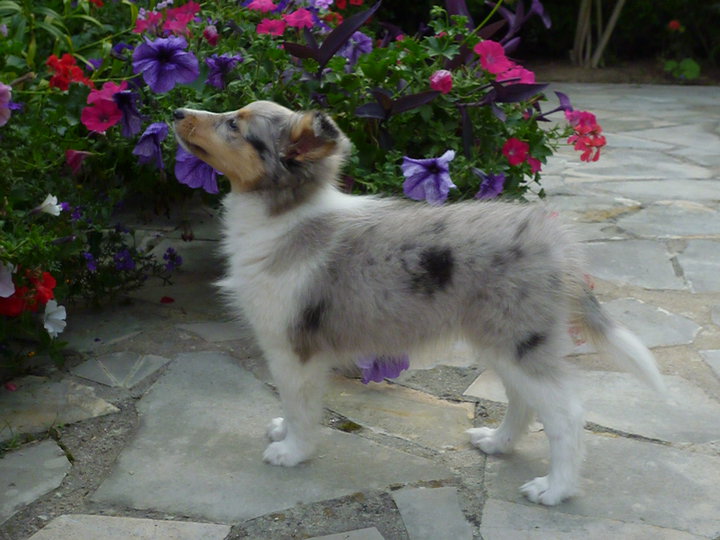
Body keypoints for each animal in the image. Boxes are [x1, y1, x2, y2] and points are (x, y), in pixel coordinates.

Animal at [173, 101, 665, 506]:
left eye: (234, 125)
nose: (177, 112)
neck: (283, 217)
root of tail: (557, 243)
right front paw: (283, 431)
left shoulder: (293, 348)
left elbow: (300, 405)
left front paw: (291, 450)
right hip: (500, 340)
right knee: (523, 401)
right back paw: (497, 443)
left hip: (520, 339)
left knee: (566, 415)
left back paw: (555, 489)